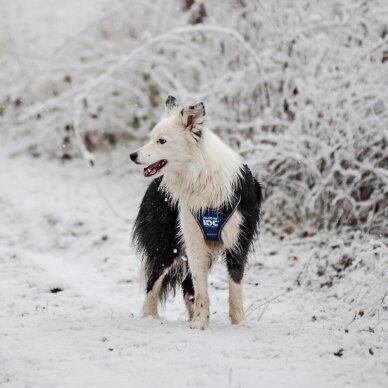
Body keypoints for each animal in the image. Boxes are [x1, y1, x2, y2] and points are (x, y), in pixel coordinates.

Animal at [132, 95, 262, 328]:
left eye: (161, 141)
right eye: (151, 138)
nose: (133, 155)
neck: (202, 176)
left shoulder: (238, 242)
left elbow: (235, 288)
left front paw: (239, 323)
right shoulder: (194, 243)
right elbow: (202, 290)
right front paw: (200, 324)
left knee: (184, 285)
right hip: (166, 245)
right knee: (154, 281)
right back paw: (150, 317)